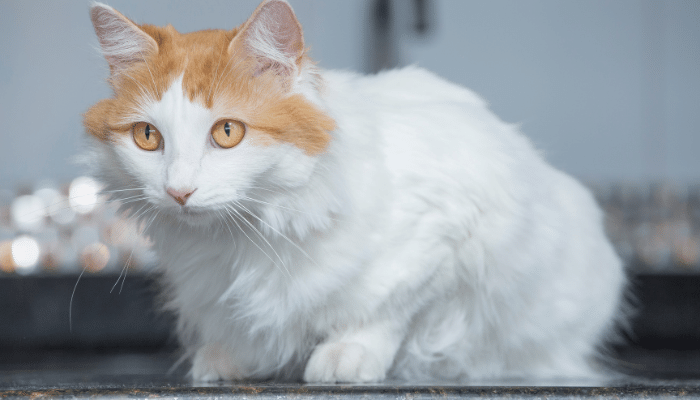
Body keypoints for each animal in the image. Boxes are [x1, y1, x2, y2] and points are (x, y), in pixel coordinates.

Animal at [85, 0, 628, 382]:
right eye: (148, 137)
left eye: (227, 132)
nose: (179, 191)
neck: (247, 235)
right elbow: (247, 326)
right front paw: (234, 356)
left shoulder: (446, 230)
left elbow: (385, 310)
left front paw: (347, 354)